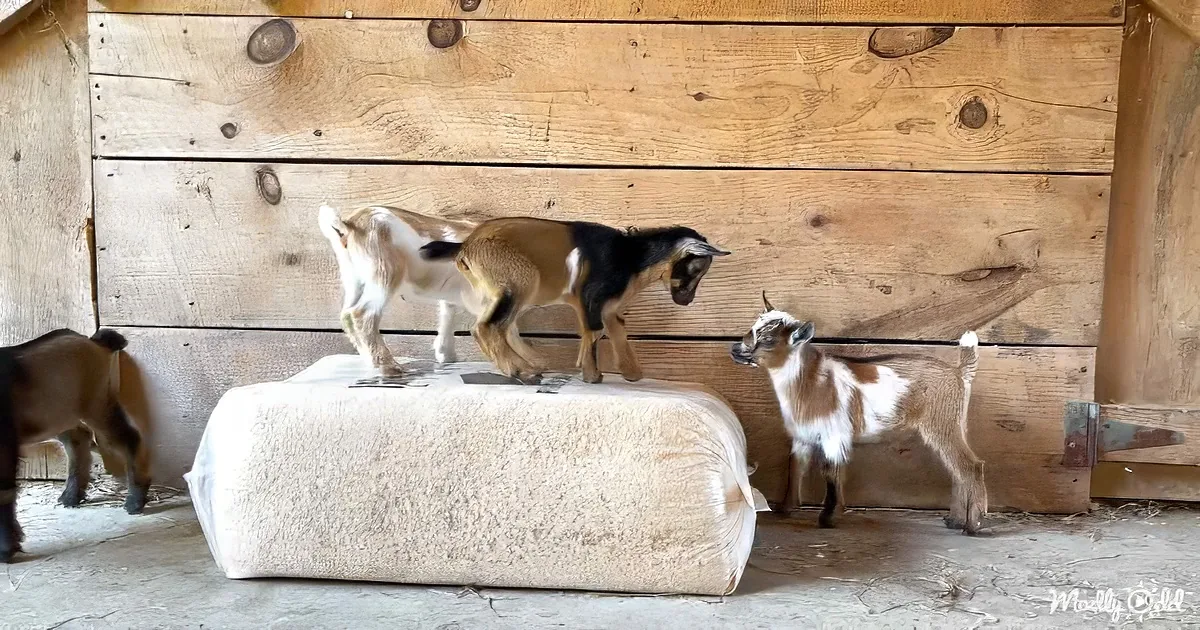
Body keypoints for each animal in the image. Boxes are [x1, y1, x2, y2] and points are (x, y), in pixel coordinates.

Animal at [0, 328, 151, 563]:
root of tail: (95, 342)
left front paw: (7, 549)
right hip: (60, 414)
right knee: (79, 438)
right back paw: (71, 496)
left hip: (98, 404)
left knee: (126, 438)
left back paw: (135, 501)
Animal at [319, 203, 514, 376]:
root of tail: (349, 225)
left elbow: (448, 315)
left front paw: (446, 356)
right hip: (384, 274)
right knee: (362, 314)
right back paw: (389, 366)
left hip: (354, 280)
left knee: (346, 315)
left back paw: (371, 361)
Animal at [420, 218, 730, 384]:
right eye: (696, 268)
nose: (686, 300)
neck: (632, 256)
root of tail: (466, 246)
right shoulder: (591, 297)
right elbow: (594, 332)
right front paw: (593, 376)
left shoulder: (609, 308)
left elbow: (614, 332)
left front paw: (632, 373)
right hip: (518, 280)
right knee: (486, 327)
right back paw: (520, 371)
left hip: (507, 291)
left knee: (501, 326)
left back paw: (533, 364)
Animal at [730, 293, 986, 534]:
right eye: (751, 328)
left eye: (768, 340)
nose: (734, 348)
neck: (809, 381)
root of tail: (960, 371)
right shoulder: (803, 437)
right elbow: (795, 469)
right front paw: (785, 509)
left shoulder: (833, 436)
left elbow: (831, 474)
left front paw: (828, 518)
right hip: (955, 423)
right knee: (957, 470)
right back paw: (954, 521)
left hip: (942, 421)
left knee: (970, 466)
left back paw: (971, 526)